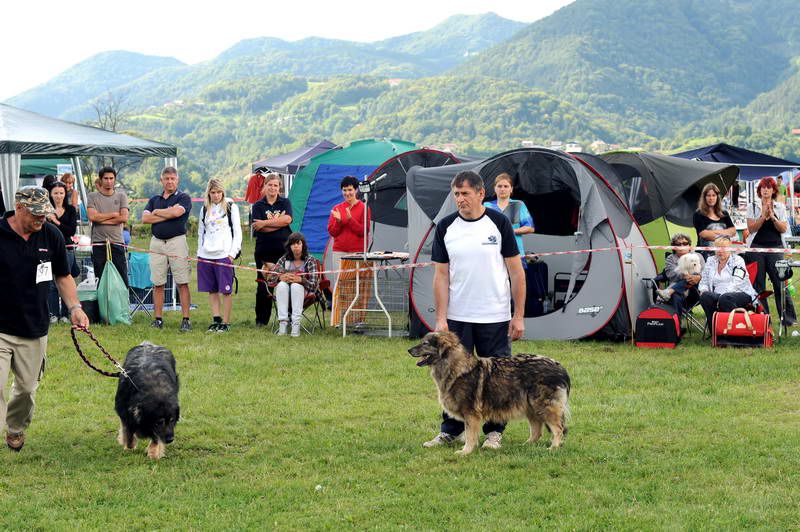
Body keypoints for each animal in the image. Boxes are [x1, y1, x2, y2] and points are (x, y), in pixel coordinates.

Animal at [410, 330, 572, 456]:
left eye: (425, 343)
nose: (409, 350)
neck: (456, 368)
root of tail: (560, 368)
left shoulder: (471, 414)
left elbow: (470, 435)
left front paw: (465, 451)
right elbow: (468, 434)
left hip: (544, 406)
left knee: (558, 429)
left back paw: (553, 447)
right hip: (531, 407)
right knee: (537, 430)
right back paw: (527, 445)